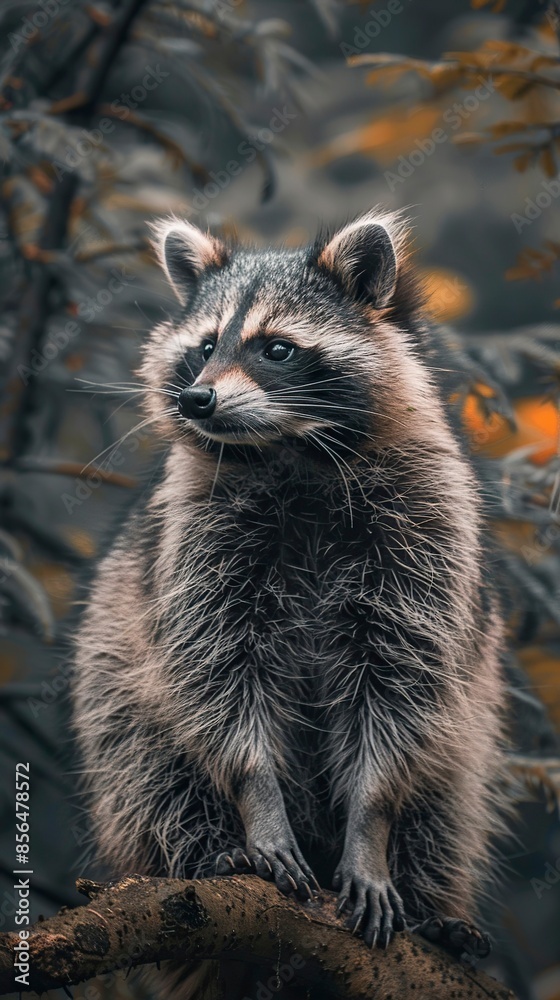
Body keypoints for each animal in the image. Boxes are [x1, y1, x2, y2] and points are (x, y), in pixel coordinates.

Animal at [73, 210, 507, 994]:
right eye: (205, 346)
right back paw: (205, 852)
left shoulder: (424, 537)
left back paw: (435, 908)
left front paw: (371, 828)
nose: (197, 399)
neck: (291, 453)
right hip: (112, 659)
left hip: (471, 723)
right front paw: (258, 806)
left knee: (447, 797)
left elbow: (400, 694)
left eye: (278, 348)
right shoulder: (195, 545)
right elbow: (215, 681)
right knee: (146, 763)